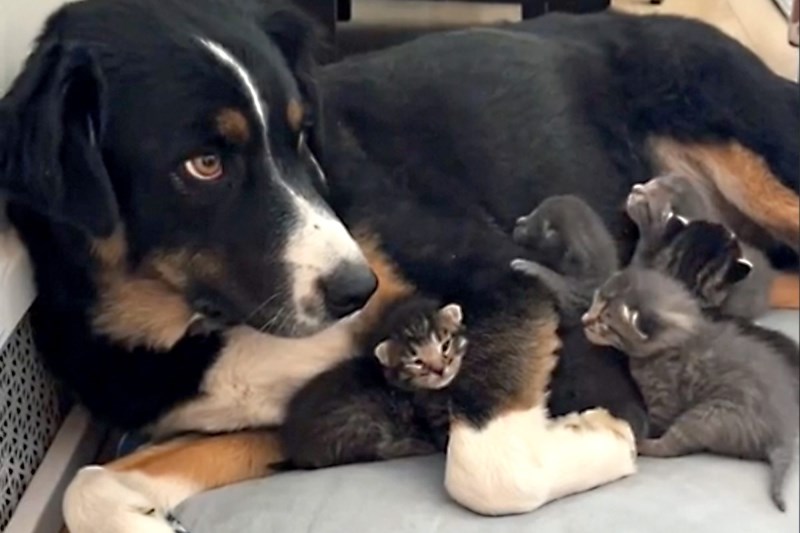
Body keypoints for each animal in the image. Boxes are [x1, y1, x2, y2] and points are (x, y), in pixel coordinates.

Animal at [580, 270, 800, 512]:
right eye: (596, 300)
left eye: (605, 322)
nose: (584, 320)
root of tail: (784, 433)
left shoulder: (663, 398)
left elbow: (655, 422)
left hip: (708, 415)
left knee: (671, 447)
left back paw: (642, 445)